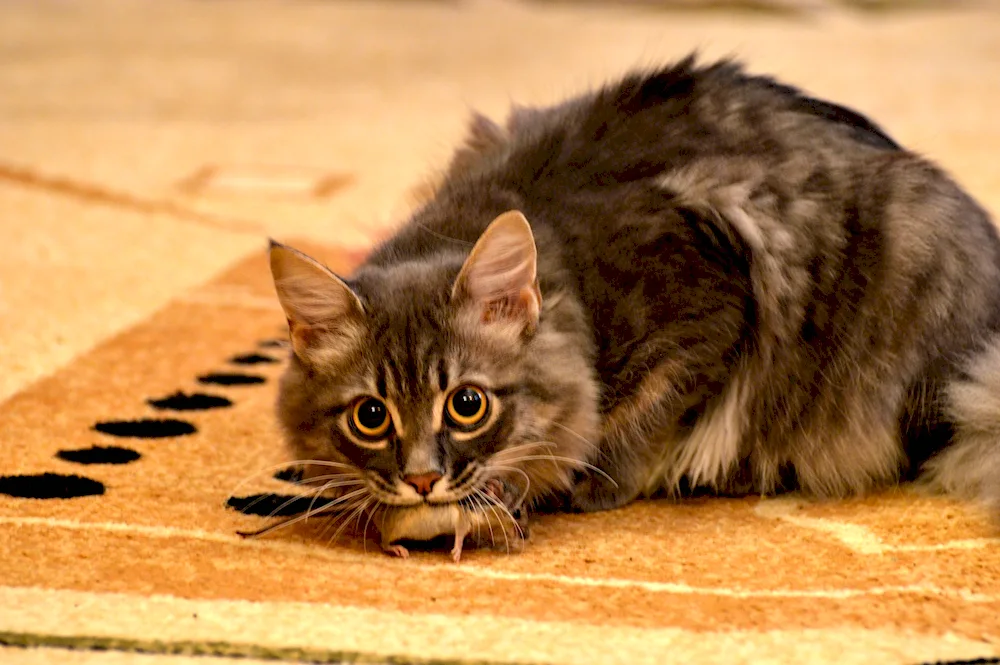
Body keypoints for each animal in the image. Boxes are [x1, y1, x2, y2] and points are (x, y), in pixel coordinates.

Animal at [266, 54, 1000, 544]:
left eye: (467, 405)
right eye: (370, 416)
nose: (421, 479)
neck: (574, 284)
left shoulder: (710, 307)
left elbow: (649, 417)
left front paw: (590, 483)